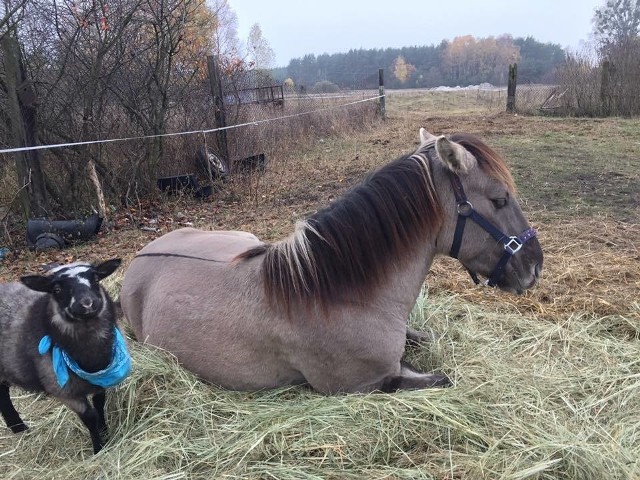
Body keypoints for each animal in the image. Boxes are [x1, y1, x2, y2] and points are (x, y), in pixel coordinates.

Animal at [0, 258, 130, 454]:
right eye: (57, 289)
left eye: (96, 279)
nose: (87, 304)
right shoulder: (64, 392)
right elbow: (90, 417)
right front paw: (99, 448)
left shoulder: (99, 383)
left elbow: (100, 404)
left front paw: (106, 433)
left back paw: (19, 428)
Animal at [119, 127, 540, 394]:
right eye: (499, 199)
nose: (534, 266)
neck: (336, 292)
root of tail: (140, 256)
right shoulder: (369, 385)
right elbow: (442, 379)